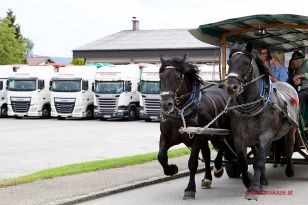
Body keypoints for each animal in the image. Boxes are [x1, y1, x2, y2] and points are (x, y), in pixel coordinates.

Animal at [159, 55, 233, 199]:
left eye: (177, 77)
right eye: (161, 77)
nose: (166, 104)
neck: (182, 113)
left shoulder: (197, 138)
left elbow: (192, 163)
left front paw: (190, 189)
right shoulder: (166, 137)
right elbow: (161, 157)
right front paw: (171, 169)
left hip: (221, 131)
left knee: (222, 146)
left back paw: (218, 167)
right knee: (207, 154)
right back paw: (207, 178)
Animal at [225, 44, 300, 199]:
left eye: (246, 63)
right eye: (229, 63)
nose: (231, 87)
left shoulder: (266, 135)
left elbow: (259, 162)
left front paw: (253, 187)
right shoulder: (238, 137)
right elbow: (244, 162)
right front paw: (248, 182)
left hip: (291, 130)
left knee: (289, 147)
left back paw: (289, 170)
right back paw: (263, 179)